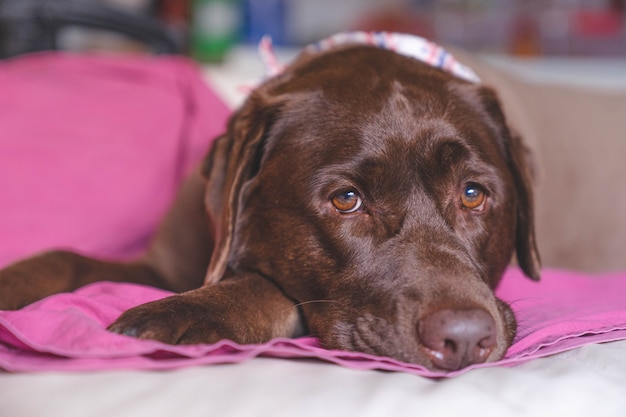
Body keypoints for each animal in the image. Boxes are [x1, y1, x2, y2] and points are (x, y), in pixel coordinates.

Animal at [2, 32, 588, 370]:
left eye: (472, 194)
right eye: (347, 200)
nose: (464, 339)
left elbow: (264, 286)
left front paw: (187, 311)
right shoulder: (160, 265)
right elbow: (66, 258)